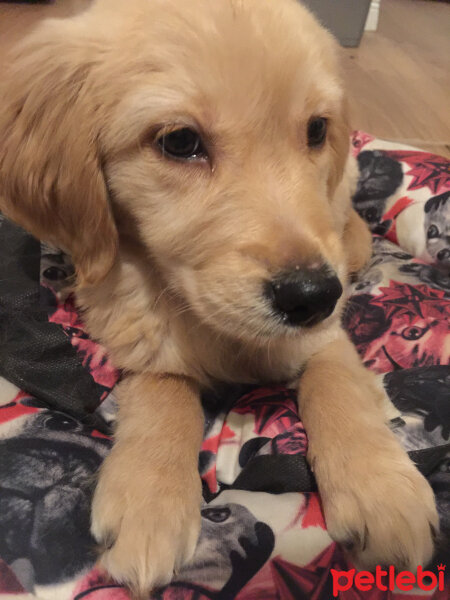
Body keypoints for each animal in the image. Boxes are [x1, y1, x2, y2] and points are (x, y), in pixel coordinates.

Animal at [0, 0, 438, 592]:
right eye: (180, 142)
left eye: (316, 129)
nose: (311, 295)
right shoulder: (124, 312)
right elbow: (163, 386)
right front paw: (150, 497)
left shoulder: (325, 326)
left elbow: (337, 379)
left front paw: (382, 489)